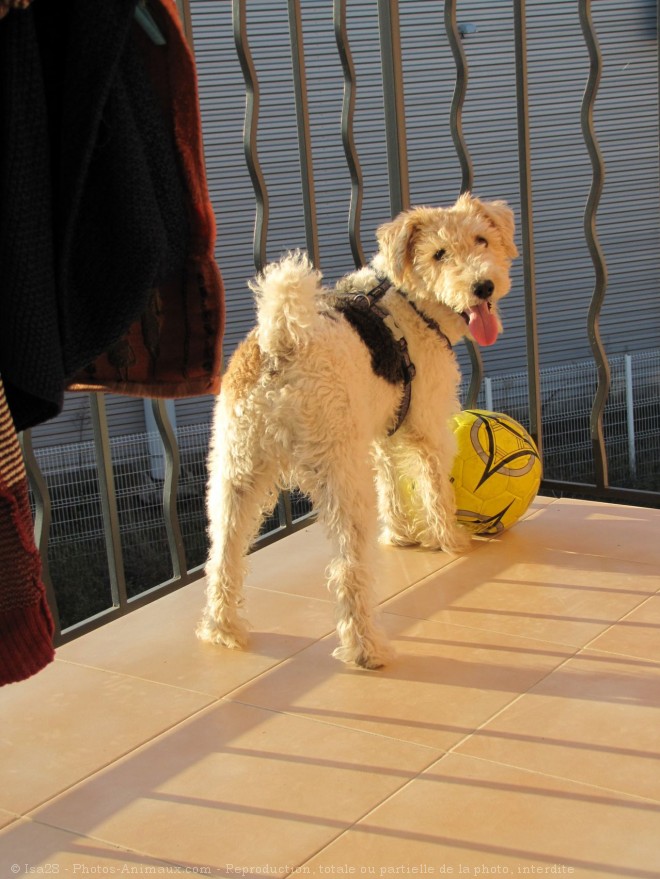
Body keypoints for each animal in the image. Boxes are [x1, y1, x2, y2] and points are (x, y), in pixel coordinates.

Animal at [199, 196, 520, 672]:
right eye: (438, 254)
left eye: (482, 238)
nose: (482, 287)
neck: (409, 300)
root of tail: (280, 345)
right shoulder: (428, 426)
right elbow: (436, 489)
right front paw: (451, 541)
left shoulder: (382, 432)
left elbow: (392, 486)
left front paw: (402, 535)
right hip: (339, 479)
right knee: (347, 572)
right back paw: (367, 649)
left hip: (234, 474)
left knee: (222, 556)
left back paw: (221, 630)